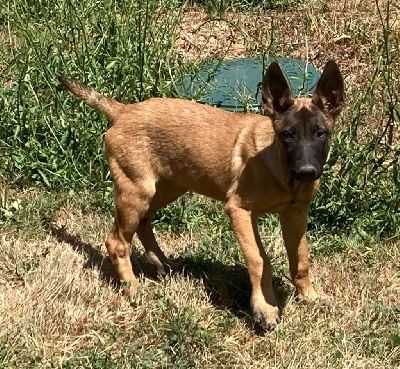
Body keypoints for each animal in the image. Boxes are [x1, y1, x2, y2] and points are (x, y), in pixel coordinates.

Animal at [58, 59, 344, 330]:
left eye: (321, 133)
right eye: (287, 135)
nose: (307, 172)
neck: (282, 171)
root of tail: (123, 111)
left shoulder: (295, 214)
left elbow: (301, 259)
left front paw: (310, 296)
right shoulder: (239, 211)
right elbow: (259, 260)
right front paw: (265, 308)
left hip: (169, 187)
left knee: (144, 222)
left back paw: (163, 264)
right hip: (137, 191)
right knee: (117, 241)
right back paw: (132, 288)